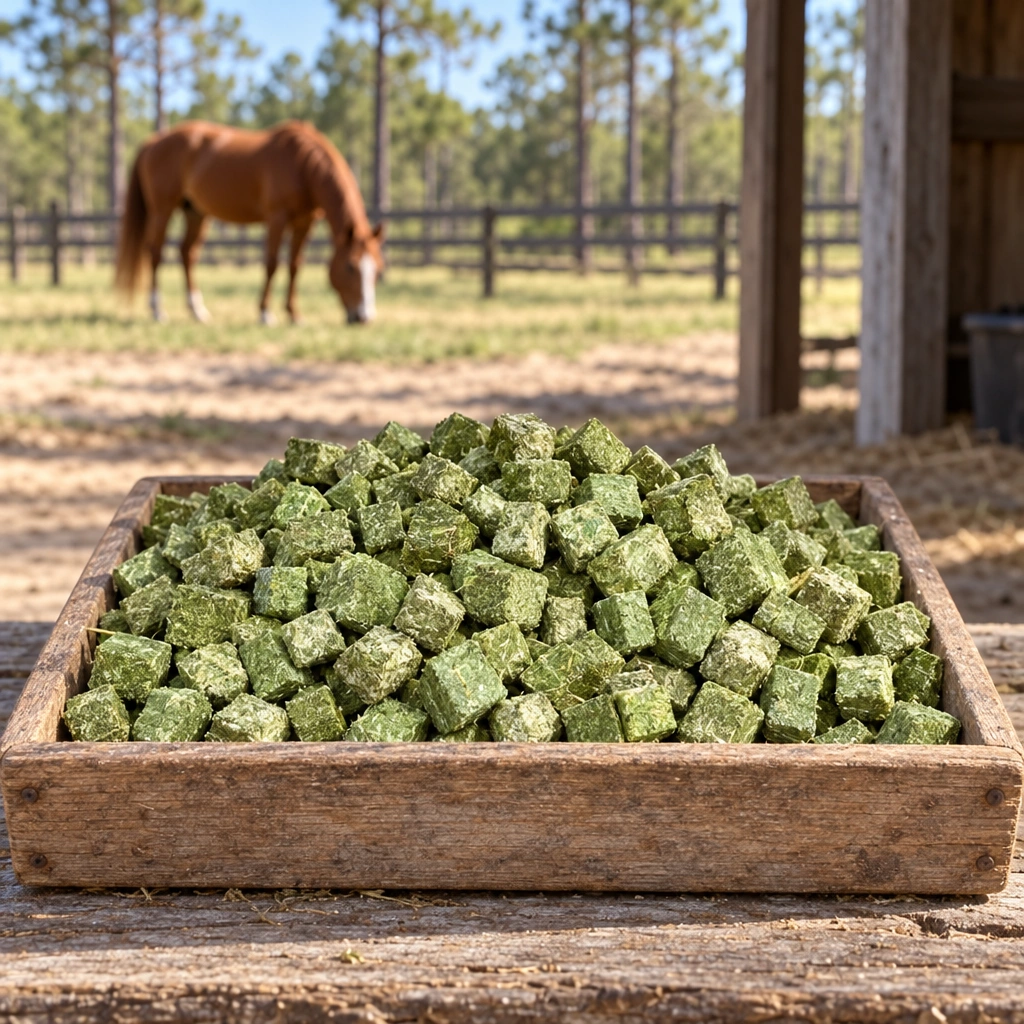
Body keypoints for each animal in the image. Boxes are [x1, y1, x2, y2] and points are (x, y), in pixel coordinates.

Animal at [115, 120, 384, 325]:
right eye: (350, 267)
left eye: (378, 270)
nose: (364, 317)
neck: (302, 167)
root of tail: (154, 142)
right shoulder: (277, 218)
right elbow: (272, 264)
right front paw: (265, 314)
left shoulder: (304, 222)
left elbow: (295, 265)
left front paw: (294, 315)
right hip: (162, 210)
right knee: (155, 253)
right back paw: (158, 311)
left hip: (196, 213)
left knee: (187, 253)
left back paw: (198, 311)